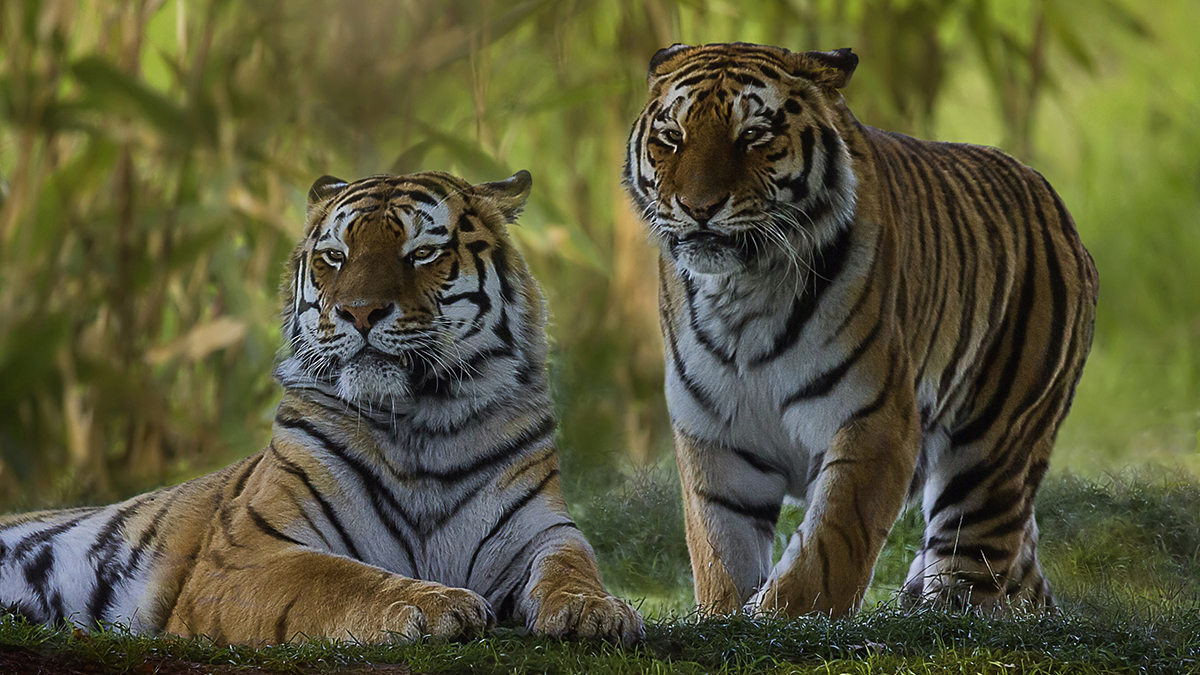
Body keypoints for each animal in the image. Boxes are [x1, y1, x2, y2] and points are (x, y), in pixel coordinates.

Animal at [0, 170, 643, 645]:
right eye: (336, 256)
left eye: (422, 252)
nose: (359, 312)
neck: (422, 424)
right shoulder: (247, 554)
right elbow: (339, 578)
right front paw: (436, 604)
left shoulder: (544, 531)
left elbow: (572, 567)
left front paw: (597, 610)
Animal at [624, 42, 1098, 617]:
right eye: (672, 137)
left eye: (753, 135)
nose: (698, 208)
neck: (742, 293)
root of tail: (1051, 201)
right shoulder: (715, 438)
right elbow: (719, 553)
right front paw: (725, 614)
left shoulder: (875, 424)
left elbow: (826, 554)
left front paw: (781, 616)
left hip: (991, 456)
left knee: (971, 575)